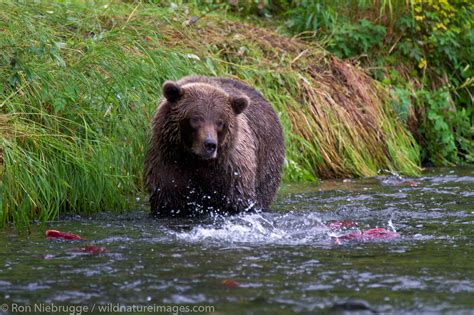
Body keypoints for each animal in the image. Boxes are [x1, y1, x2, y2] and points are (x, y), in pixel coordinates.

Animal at [144, 76, 284, 217]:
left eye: (220, 122)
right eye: (195, 118)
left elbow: (237, 201)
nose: (210, 144)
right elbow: (168, 200)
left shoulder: (230, 171)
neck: (195, 160)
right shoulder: (169, 164)